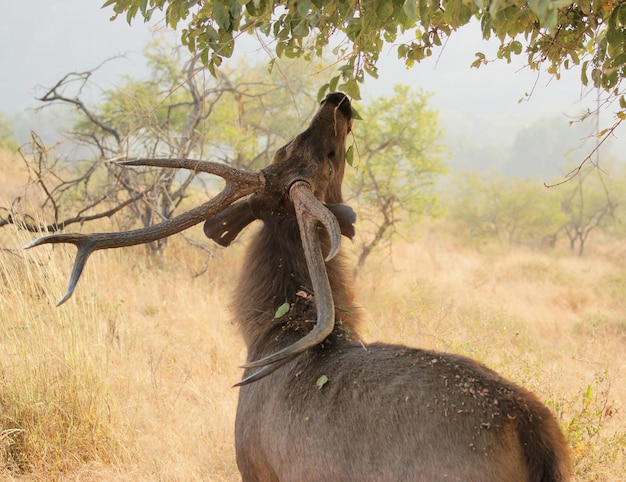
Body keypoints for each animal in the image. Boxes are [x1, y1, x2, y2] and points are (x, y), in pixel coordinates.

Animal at [26, 92, 568, 480]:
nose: (338, 98)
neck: (271, 334)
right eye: (288, 146)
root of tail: (534, 431)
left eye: (327, 154)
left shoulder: (254, 466)